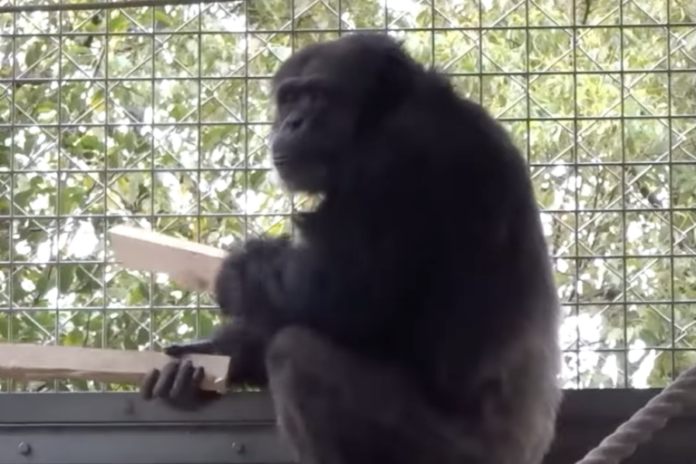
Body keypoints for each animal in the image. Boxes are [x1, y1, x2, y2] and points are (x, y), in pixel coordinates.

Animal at [140, 32, 562, 464]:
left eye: (317, 96)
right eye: (289, 98)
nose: (293, 122)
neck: (375, 120)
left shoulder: (393, 161)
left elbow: (339, 295)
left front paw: (238, 271)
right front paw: (210, 357)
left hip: (452, 452)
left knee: (296, 355)